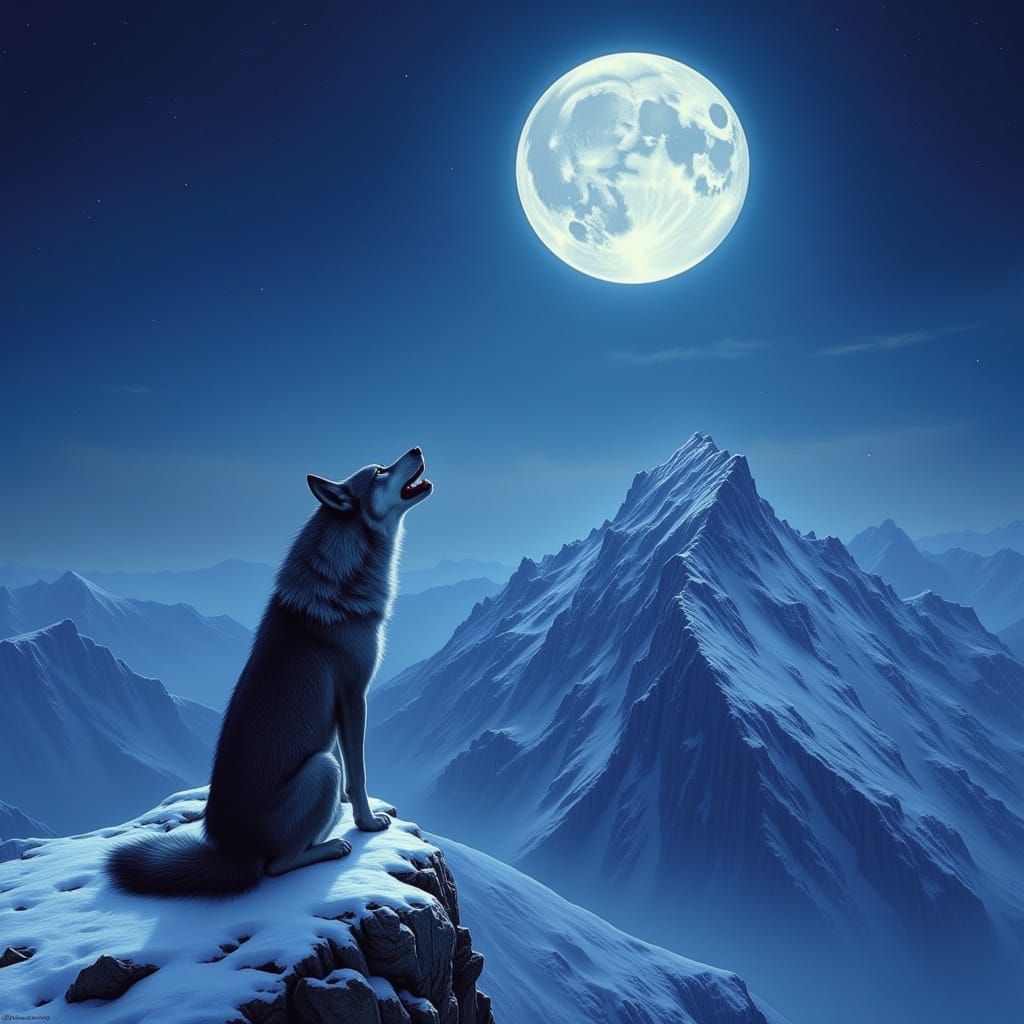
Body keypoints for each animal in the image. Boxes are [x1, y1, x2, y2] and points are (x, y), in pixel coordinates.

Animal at [107, 446, 432, 897]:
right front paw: (366, 823)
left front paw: (348, 812)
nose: (416, 448)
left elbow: (351, 769)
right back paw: (332, 848)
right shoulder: (353, 696)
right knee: (275, 866)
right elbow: (359, 773)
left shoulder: (340, 711)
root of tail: (232, 852)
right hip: (321, 770)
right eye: (380, 471)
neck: (344, 577)